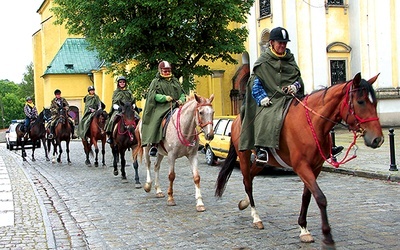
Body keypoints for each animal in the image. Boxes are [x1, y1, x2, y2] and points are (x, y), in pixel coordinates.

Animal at [216, 73, 384, 248]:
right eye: (360, 102)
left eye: (375, 102)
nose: (378, 139)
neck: (312, 124)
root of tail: (235, 120)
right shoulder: (301, 166)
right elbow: (320, 198)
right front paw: (327, 236)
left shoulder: (315, 167)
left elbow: (307, 197)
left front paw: (303, 228)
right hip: (243, 155)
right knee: (247, 182)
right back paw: (256, 217)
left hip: (263, 161)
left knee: (250, 176)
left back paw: (245, 202)